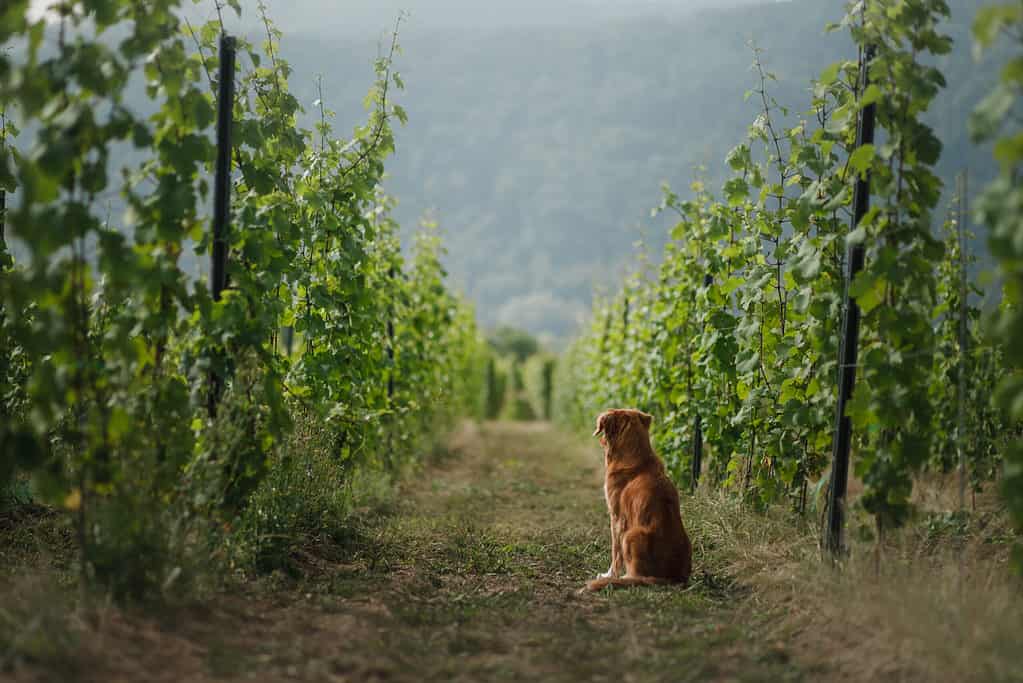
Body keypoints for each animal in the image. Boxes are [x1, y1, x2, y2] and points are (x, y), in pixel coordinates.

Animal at [581, 404, 691, 593]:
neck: (636, 455)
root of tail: (672, 578)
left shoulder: (617, 518)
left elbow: (615, 552)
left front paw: (609, 575)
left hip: (632, 534)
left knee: (637, 575)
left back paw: (623, 579)